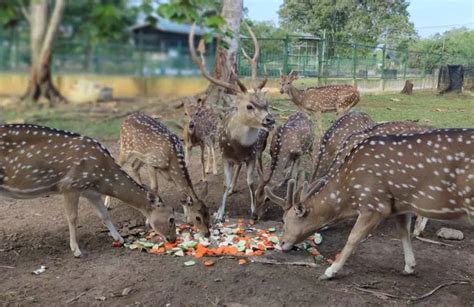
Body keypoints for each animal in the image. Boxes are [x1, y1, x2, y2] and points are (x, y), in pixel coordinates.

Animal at [0, 124, 178, 256]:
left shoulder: (89, 191)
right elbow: (72, 217)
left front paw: (120, 238)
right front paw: (76, 250)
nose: (173, 239)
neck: (102, 176)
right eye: (171, 218)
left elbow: (104, 214)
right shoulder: (70, 185)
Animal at [189, 23, 274, 221]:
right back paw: (233, 188)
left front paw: (253, 210)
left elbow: (251, 182)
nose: (269, 119)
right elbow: (224, 184)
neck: (238, 146)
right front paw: (219, 213)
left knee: (255, 171)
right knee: (236, 170)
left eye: (265, 103)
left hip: (260, 151)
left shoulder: (251, 155)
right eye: (249, 106)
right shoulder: (225, 155)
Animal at [264, 129, 472, 280]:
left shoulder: (373, 203)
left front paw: (330, 271)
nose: (282, 243)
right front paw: (409, 266)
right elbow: (403, 233)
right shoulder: (399, 205)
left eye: (285, 220)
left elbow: (353, 238)